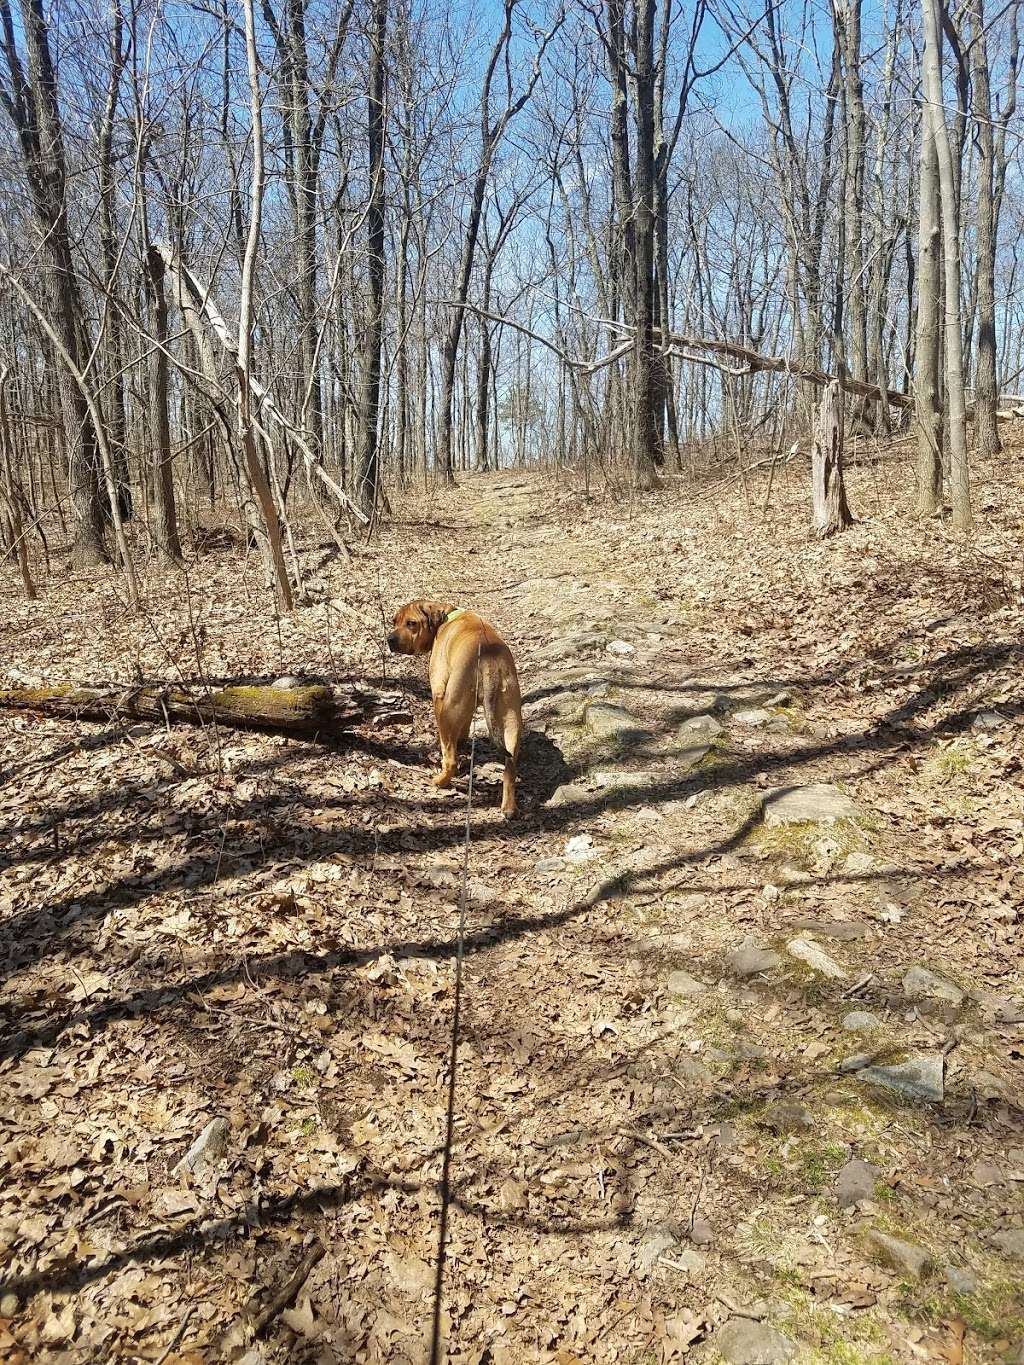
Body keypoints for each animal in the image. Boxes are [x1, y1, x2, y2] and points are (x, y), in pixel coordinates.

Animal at [387, 603, 524, 813]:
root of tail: (489, 661)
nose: (390, 640)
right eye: (394, 621)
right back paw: (508, 807)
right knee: (510, 768)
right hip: (511, 721)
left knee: (451, 759)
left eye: (411, 623)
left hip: (449, 710)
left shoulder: (439, 692)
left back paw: (441, 780)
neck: (447, 616)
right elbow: (464, 727)